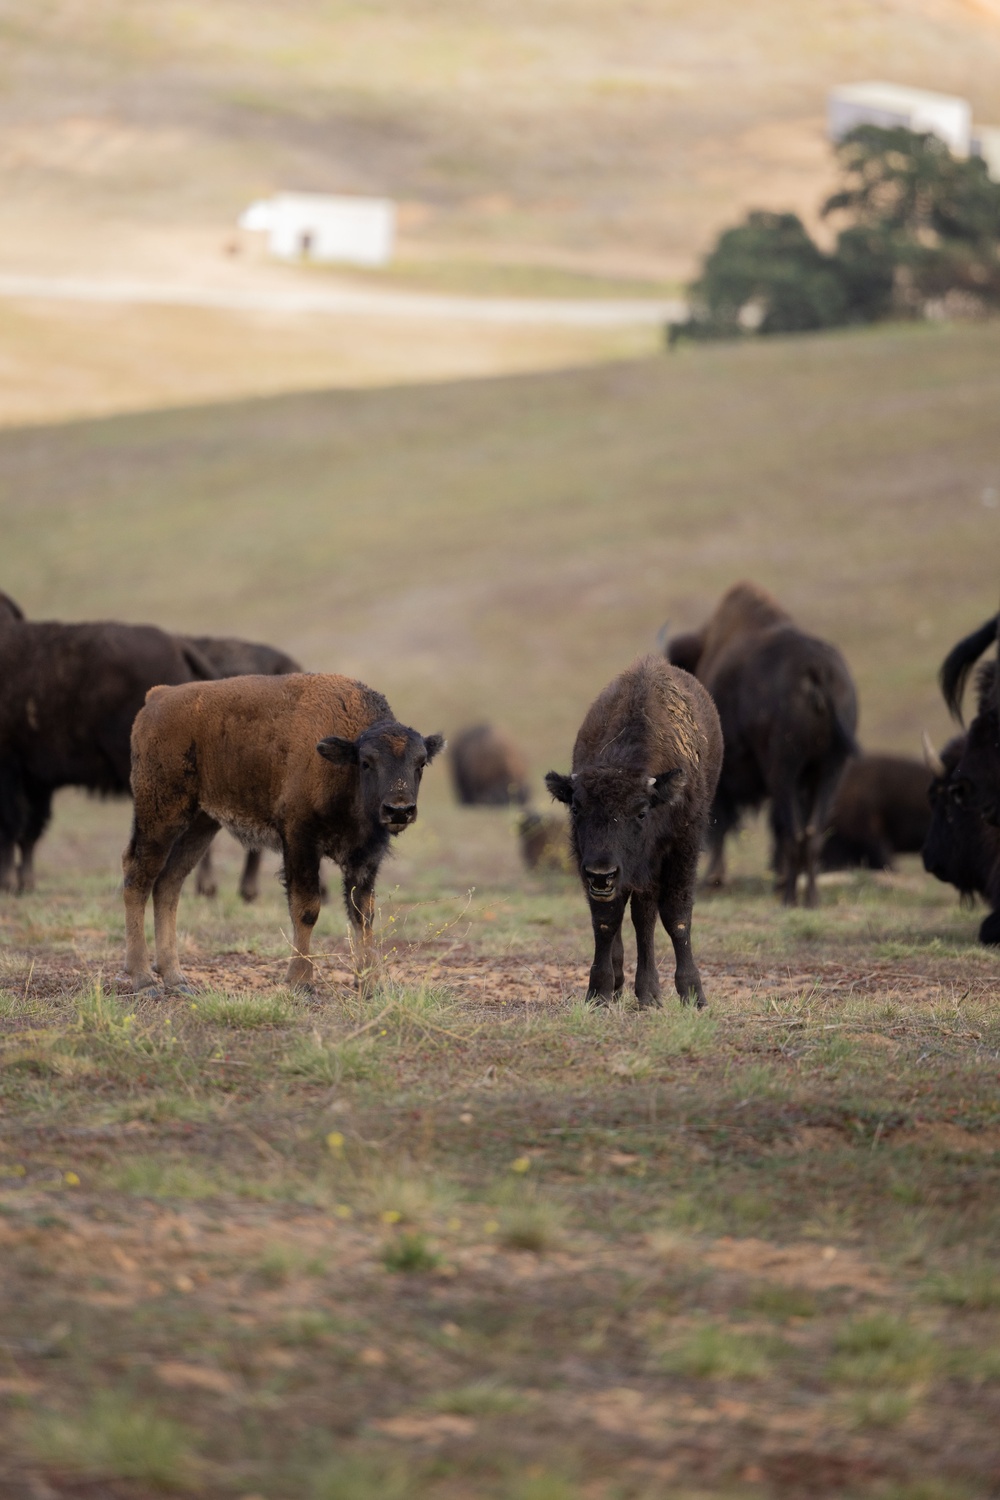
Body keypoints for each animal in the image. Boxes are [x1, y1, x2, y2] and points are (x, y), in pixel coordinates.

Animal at [122, 678, 440, 996]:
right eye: (366, 762)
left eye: (421, 763)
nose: (399, 810)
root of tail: (158, 697)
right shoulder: (300, 842)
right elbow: (307, 908)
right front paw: (300, 981)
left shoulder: (365, 858)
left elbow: (363, 915)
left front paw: (370, 985)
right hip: (160, 816)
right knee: (137, 878)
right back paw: (144, 979)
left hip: (200, 824)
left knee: (168, 884)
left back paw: (176, 978)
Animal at [542, 657, 722, 1008]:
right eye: (576, 808)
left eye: (641, 812)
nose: (602, 874)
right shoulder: (588, 860)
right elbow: (606, 920)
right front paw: (599, 991)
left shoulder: (682, 849)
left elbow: (675, 917)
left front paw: (691, 993)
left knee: (645, 917)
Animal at [668, 579, 857, 906]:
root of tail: (815, 669)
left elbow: (721, 823)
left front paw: (714, 879)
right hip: (829, 769)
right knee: (810, 833)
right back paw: (809, 897)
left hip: (784, 770)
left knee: (794, 832)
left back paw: (790, 897)